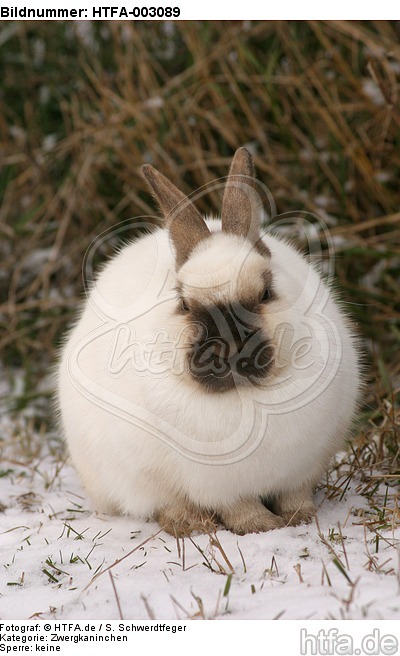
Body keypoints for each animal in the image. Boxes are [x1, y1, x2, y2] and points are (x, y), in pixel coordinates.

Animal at [56, 147, 362, 536]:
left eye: (266, 293)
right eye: (184, 304)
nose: (231, 344)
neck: (245, 397)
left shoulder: (302, 472)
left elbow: (295, 495)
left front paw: (300, 519)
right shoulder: (217, 486)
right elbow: (238, 507)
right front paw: (262, 527)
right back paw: (192, 525)